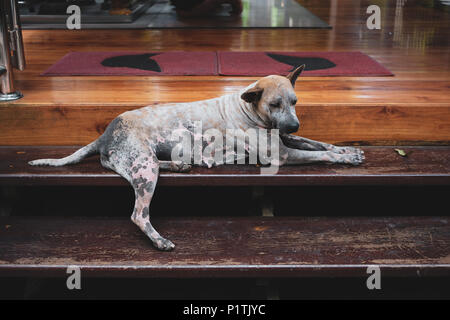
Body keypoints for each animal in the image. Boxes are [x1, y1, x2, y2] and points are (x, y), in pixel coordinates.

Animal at [29, 65, 364, 250]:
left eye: (294, 101)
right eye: (274, 104)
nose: (294, 124)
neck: (249, 108)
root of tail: (104, 134)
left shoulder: (286, 139)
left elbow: (319, 144)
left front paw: (347, 150)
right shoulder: (280, 154)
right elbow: (319, 155)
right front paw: (344, 159)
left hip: (147, 162)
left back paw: (182, 164)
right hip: (144, 169)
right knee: (139, 214)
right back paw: (159, 240)